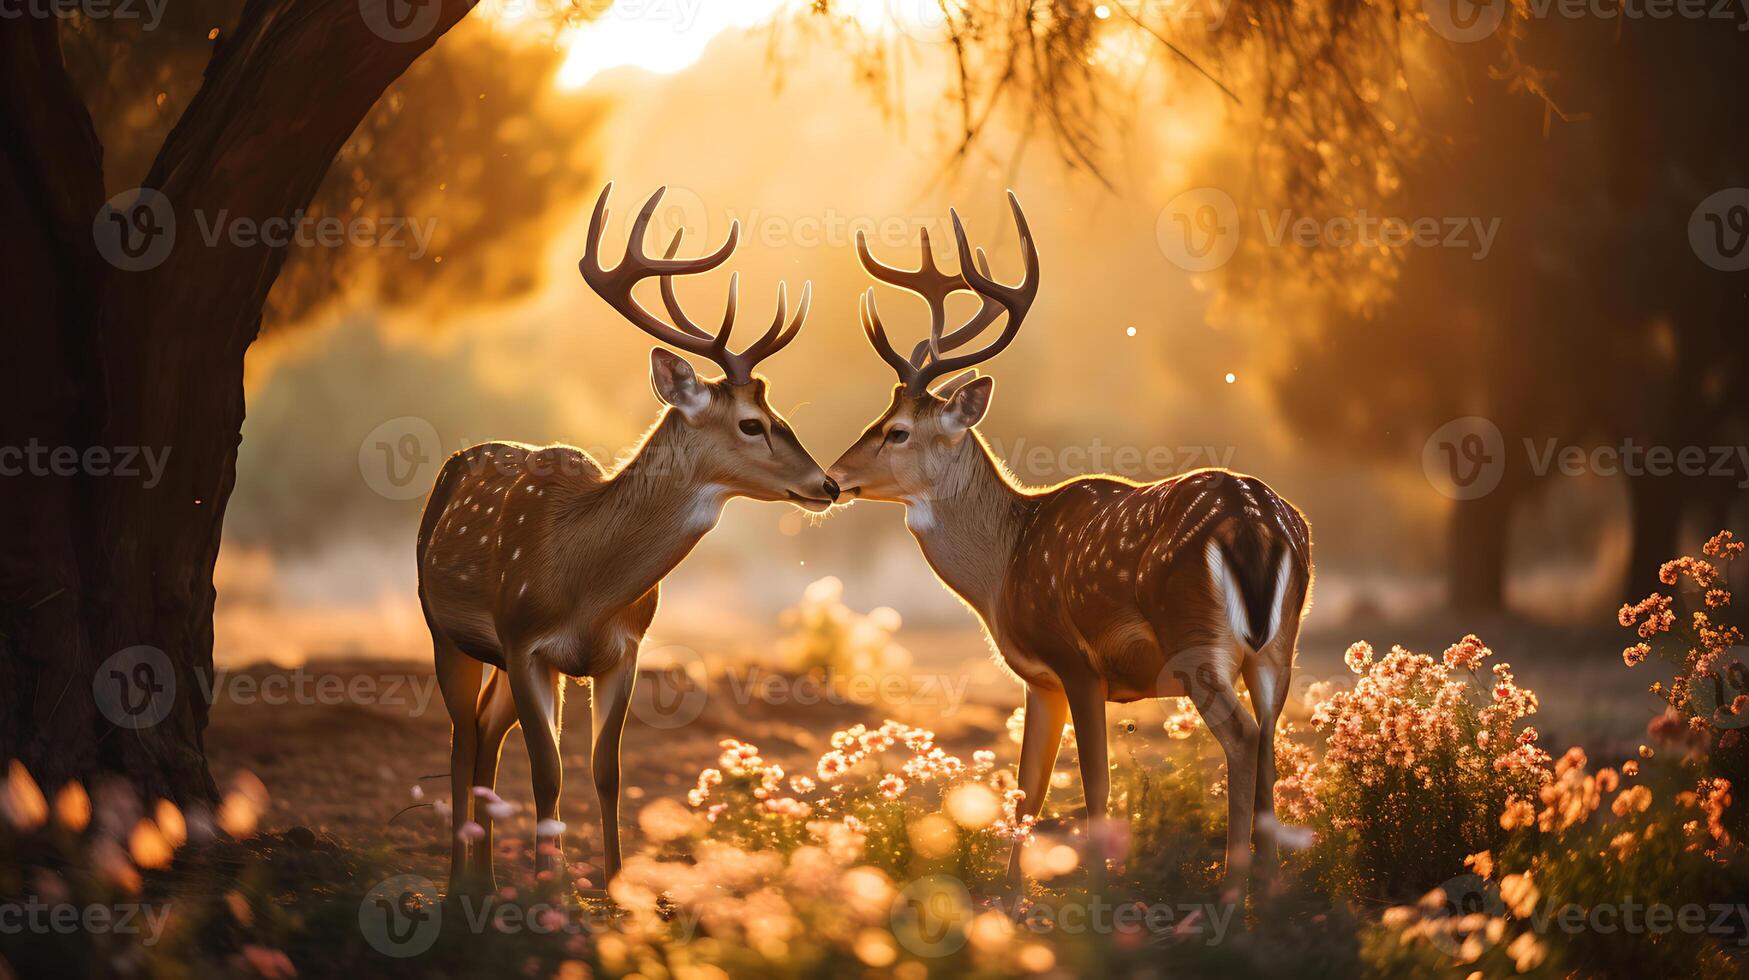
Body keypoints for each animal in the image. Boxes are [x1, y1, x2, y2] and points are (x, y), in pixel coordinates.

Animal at [416, 183, 839, 896]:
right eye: (752, 424)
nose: (828, 484)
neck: (581, 583)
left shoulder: (625, 649)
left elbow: (606, 771)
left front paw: (615, 887)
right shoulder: (525, 640)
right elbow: (550, 772)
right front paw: (551, 890)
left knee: (484, 733)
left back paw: (487, 880)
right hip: (446, 631)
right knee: (462, 737)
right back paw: (461, 887)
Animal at [829, 193, 1315, 903]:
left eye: (896, 431)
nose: (832, 478)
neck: (1003, 569)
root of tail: (1255, 522)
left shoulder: (1077, 662)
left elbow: (1093, 786)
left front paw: (1097, 892)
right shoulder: (1041, 680)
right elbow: (1026, 789)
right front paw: (1009, 898)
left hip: (1196, 642)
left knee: (1244, 738)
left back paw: (1232, 891)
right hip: (1278, 647)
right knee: (1272, 742)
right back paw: (1272, 895)